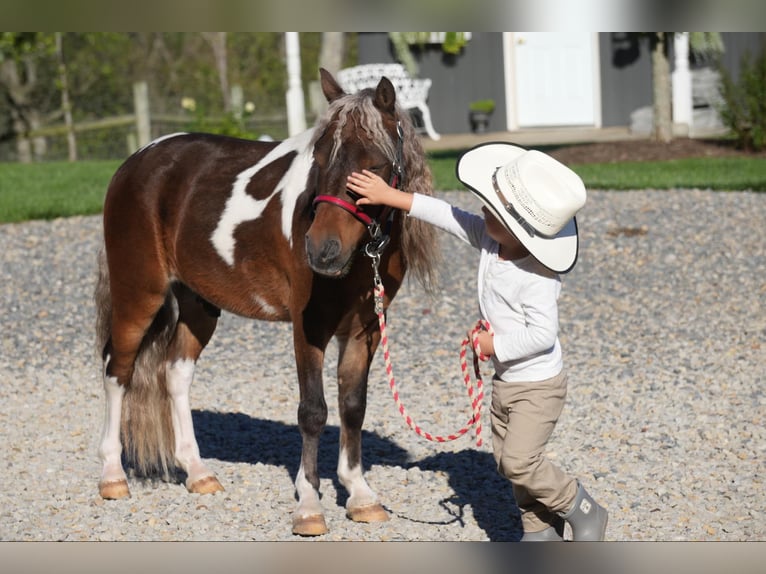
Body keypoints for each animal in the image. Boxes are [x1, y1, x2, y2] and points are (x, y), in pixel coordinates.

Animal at [94, 70, 440, 536]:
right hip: (139, 294)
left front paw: (360, 494)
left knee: (175, 374)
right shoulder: (309, 326)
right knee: (118, 371)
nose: (322, 250)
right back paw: (113, 476)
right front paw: (309, 504)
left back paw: (198, 472)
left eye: (375, 165)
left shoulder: (363, 329)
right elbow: (313, 411)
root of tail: (135, 162)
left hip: (199, 304)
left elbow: (352, 407)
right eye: (319, 158)